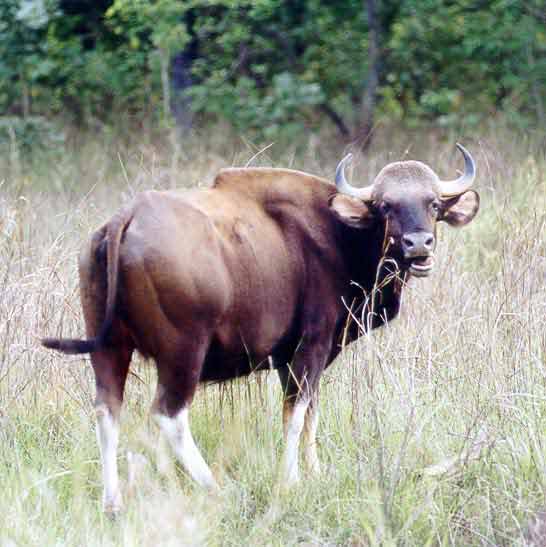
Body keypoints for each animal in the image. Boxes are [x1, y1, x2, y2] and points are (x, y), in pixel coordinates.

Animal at [41, 144, 476, 512]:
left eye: (434, 203)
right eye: (386, 206)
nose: (418, 244)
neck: (339, 235)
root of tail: (125, 217)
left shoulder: (289, 360)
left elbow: (309, 413)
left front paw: (314, 471)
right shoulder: (312, 345)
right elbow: (296, 415)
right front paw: (291, 480)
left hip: (110, 346)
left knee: (107, 410)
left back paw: (113, 501)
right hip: (183, 352)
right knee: (169, 415)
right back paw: (212, 487)